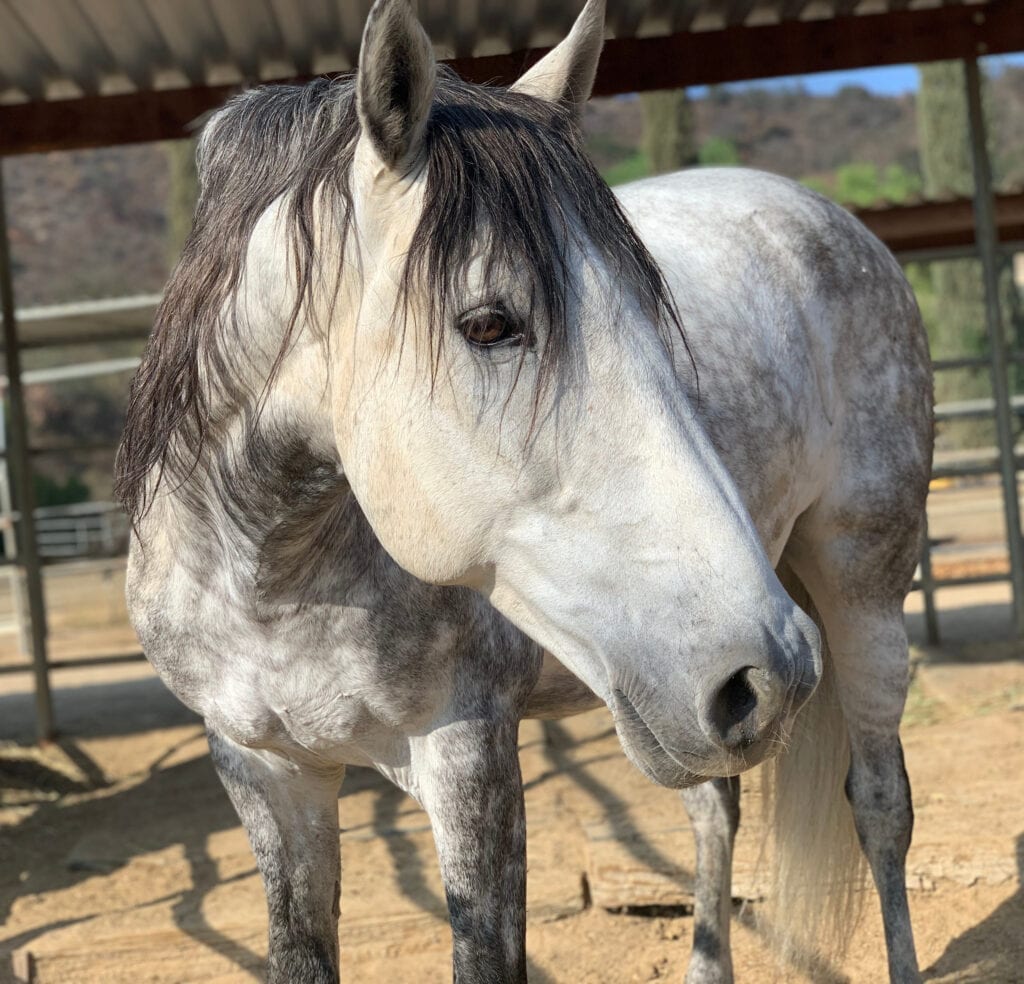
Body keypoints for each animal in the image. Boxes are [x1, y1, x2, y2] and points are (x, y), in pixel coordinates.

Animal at [116, 1, 933, 982]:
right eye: (488, 325)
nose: (769, 672)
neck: (271, 575)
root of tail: (818, 213)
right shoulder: (264, 773)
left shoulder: (469, 753)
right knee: (716, 807)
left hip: (861, 591)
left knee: (881, 804)